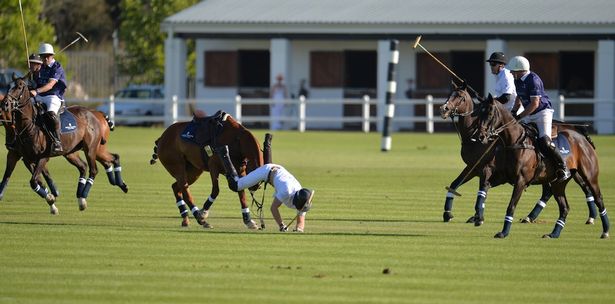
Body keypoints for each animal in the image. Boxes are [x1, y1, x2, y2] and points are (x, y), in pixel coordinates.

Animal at [1, 75, 128, 215]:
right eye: (8, 86)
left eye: (19, 87)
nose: (5, 103)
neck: (29, 127)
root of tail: (95, 113)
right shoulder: (25, 158)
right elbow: (36, 180)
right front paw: (51, 199)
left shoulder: (43, 157)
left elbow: (34, 181)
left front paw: (51, 198)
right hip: (73, 151)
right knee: (92, 164)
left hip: (91, 148)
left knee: (94, 169)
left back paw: (84, 198)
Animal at [440, 83, 600, 226]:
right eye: (449, 95)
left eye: (460, 96)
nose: (443, 109)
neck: (472, 137)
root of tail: (576, 129)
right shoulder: (473, 167)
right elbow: (456, 184)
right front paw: (449, 214)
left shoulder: (486, 167)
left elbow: (480, 188)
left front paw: (477, 216)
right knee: (549, 191)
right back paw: (531, 217)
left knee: (584, 187)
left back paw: (591, 217)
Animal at [476, 94, 608, 238]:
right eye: (479, 113)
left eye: (489, 113)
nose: (480, 136)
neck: (515, 141)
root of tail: (582, 137)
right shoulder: (504, 177)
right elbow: (485, 186)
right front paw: (478, 217)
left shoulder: (521, 181)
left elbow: (511, 206)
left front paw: (504, 232)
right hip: (558, 183)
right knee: (564, 207)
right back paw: (554, 234)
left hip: (589, 176)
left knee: (597, 197)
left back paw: (605, 231)